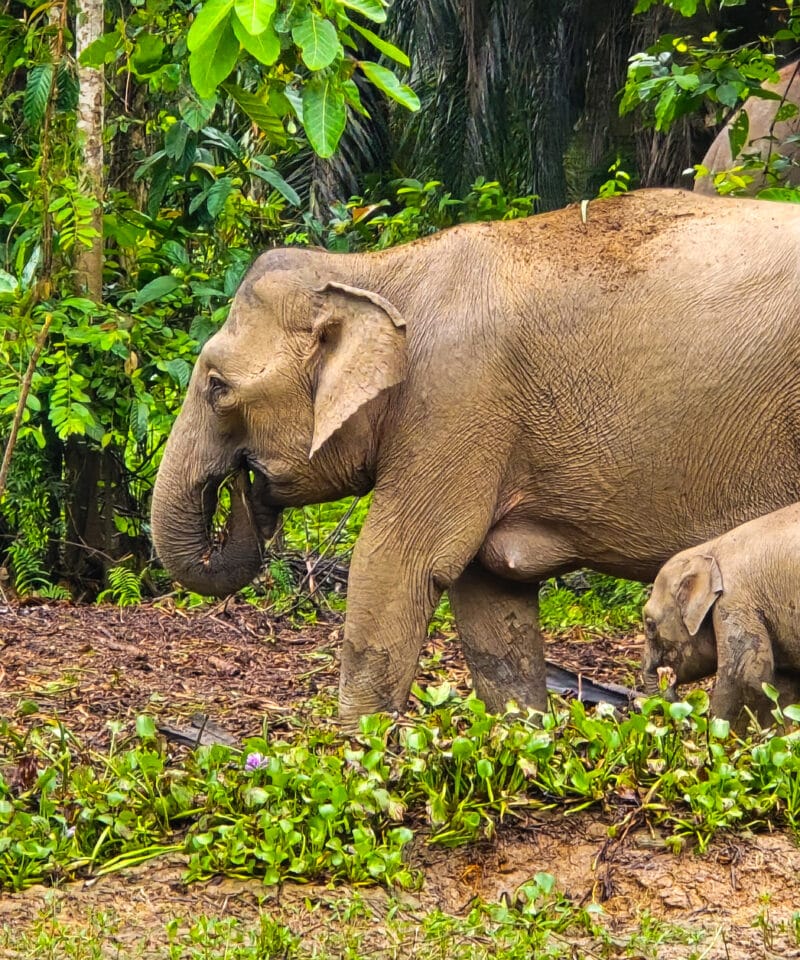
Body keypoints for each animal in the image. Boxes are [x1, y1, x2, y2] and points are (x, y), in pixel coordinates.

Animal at [641, 503, 800, 730]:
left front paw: (718, 733)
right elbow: (782, 689)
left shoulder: (735, 601)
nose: (666, 674)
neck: (707, 550)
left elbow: (745, 674)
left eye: (650, 624)